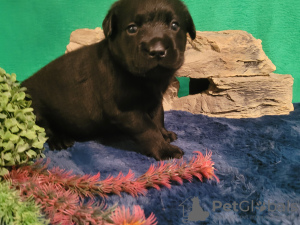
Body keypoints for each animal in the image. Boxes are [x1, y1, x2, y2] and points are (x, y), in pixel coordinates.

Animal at [22, 0, 196, 160]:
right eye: (132, 29)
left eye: (174, 25)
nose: (157, 51)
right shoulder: (125, 110)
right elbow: (148, 128)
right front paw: (165, 150)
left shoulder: (155, 99)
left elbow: (158, 117)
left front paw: (164, 134)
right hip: (36, 107)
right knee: (44, 128)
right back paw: (59, 139)